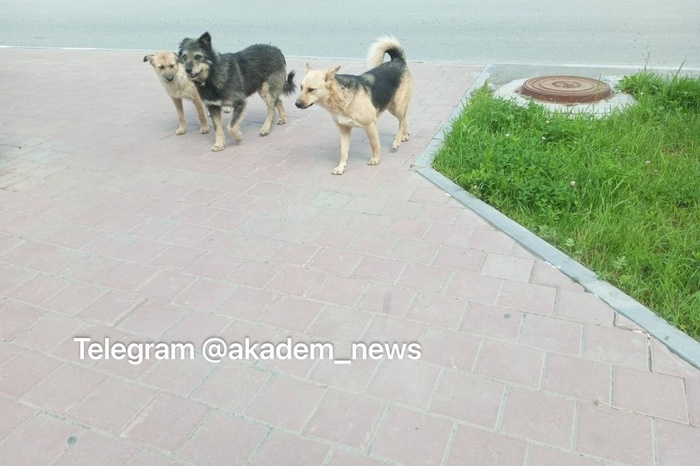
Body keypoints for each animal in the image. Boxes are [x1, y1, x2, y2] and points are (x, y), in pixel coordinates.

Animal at [294, 36, 412, 175]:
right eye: (301, 87)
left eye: (311, 90)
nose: (296, 104)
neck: (339, 98)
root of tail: (397, 60)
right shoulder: (344, 130)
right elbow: (343, 152)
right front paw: (341, 167)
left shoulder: (370, 125)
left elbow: (374, 145)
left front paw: (376, 159)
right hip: (391, 107)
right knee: (404, 119)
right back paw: (404, 135)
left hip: (397, 106)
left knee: (401, 121)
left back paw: (397, 140)